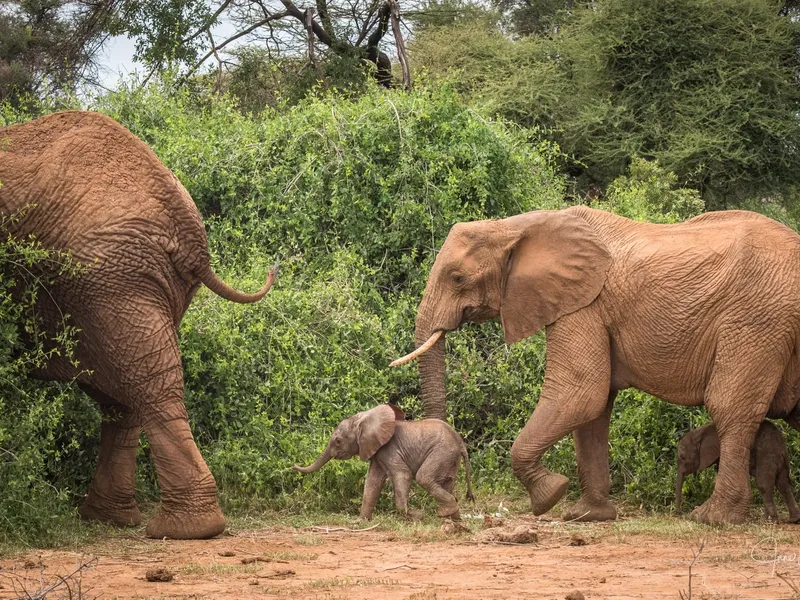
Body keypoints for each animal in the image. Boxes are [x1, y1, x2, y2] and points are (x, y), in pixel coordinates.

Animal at [0, 111, 276, 540]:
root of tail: (189, 233)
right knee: (125, 389)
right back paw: (109, 518)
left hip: (109, 277)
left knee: (146, 385)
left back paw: (185, 528)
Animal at [294, 404, 472, 520]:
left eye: (338, 441)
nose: (293, 466)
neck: (364, 419)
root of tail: (460, 442)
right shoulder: (377, 452)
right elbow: (372, 482)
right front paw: (361, 522)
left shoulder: (389, 449)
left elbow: (403, 475)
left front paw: (416, 516)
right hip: (449, 457)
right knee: (447, 483)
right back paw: (454, 519)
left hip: (442, 452)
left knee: (424, 478)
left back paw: (444, 514)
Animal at [396, 205, 800, 524]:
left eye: (457, 278)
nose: (455, 502)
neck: (516, 226)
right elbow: (594, 407)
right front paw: (586, 515)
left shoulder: (583, 306)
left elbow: (579, 393)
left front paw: (551, 495)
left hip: (757, 320)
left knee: (730, 408)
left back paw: (713, 518)